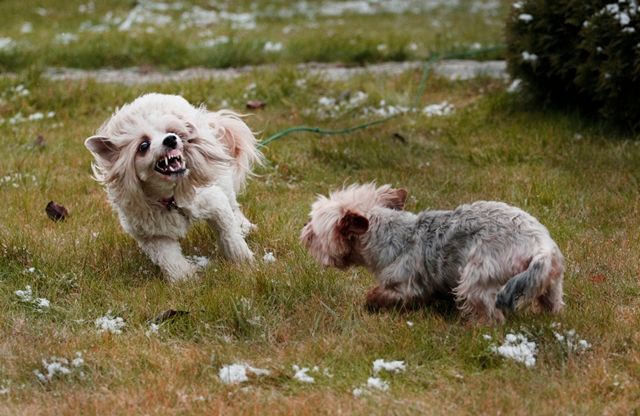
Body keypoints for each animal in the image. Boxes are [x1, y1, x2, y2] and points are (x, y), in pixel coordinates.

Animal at [85, 93, 262, 282]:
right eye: (143, 146)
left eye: (174, 132)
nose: (170, 139)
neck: (170, 198)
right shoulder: (153, 236)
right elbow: (170, 259)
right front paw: (186, 279)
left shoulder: (214, 203)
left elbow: (228, 233)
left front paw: (242, 260)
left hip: (222, 181)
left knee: (233, 206)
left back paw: (245, 227)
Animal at [300, 183, 564, 324]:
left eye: (314, 231)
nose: (303, 232)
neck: (387, 232)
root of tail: (540, 245)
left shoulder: (406, 284)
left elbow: (380, 295)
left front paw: (371, 303)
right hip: (549, 282)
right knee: (553, 302)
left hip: (476, 277)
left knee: (490, 314)